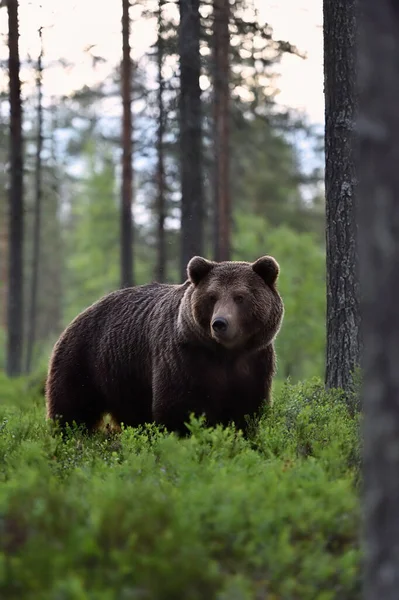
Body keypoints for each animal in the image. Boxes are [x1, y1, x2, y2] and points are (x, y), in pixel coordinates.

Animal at [46, 254, 284, 436]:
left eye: (240, 297)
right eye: (212, 296)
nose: (220, 323)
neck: (225, 354)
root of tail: (80, 314)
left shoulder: (254, 361)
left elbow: (247, 408)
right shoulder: (184, 358)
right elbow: (178, 408)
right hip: (85, 360)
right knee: (72, 408)